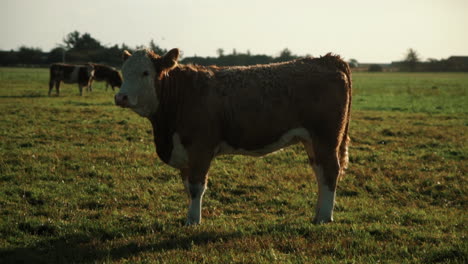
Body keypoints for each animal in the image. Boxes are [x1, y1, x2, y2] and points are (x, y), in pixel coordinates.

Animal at [115, 48, 352, 226]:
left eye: (145, 72)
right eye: (123, 72)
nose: (120, 97)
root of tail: (328, 59)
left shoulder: (200, 148)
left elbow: (196, 187)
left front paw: (193, 221)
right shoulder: (184, 152)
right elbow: (187, 186)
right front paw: (189, 216)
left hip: (326, 138)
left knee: (330, 171)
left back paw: (324, 218)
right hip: (313, 141)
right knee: (320, 173)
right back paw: (318, 214)